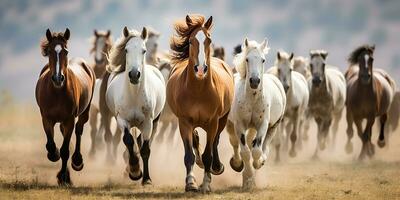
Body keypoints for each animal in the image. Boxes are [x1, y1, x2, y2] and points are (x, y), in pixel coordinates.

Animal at [35, 28, 95, 186]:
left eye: (66, 51)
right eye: (50, 51)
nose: (58, 78)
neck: (57, 92)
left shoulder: (69, 120)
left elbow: (65, 151)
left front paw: (63, 177)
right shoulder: (46, 119)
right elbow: (51, 144)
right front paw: (53, 154)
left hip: (84, 113)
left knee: (79, 130)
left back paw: (77, 161)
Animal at [106, 26, 166, 184]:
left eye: (143, 50)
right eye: (126, 50)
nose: (134, 74)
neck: (134, 96)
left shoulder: (148, 122)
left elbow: (145, 149)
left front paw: (146, 179)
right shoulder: (121, 120)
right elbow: (128, 141)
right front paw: (134, 171)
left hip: (154, 122)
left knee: (142, 141)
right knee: (133, 142)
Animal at [166, 14, 234, 192]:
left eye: (209, 40)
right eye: (191, 41)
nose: (201, 69)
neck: (198, 91)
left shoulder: (213, 122)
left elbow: (208, 153)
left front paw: (206, 184)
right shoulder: (184, 122)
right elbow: (189, 155)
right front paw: (190, 183)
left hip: (222, 120)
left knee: (215, 141)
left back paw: (217, 167)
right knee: (196, 139)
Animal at [227, 38, 286, 189]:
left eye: (263, 60)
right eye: (247, 59)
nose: (254, 81)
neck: (252, 99)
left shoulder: (262, 124)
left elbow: (256, 150)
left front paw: (257, 164)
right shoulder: (239, 125)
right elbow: (245, 152)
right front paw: (247, 177)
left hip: (273, 126)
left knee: (265, 145)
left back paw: (261, 160)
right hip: (230, 125)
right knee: (235, 143)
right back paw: (237, 164)